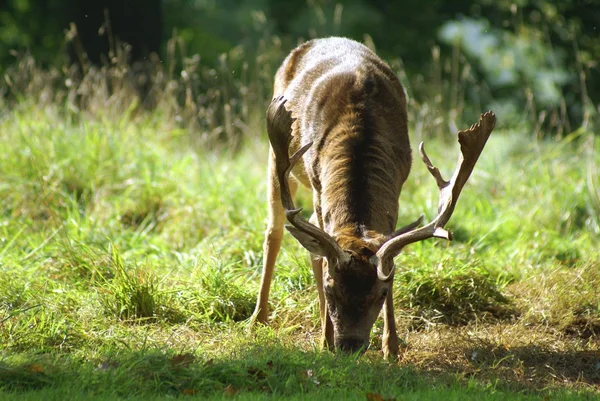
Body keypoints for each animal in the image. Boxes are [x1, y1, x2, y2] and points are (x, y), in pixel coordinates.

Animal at [251, 36, 494, 356]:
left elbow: (390, 261)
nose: (350, 345)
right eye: (331, 288)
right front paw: (325, 340)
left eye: (382, 292)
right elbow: (320, 256)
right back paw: (258, 319)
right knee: (276, 232)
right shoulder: (317, 185)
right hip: (276, 158)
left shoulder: (398, 188)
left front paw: (392, 348)